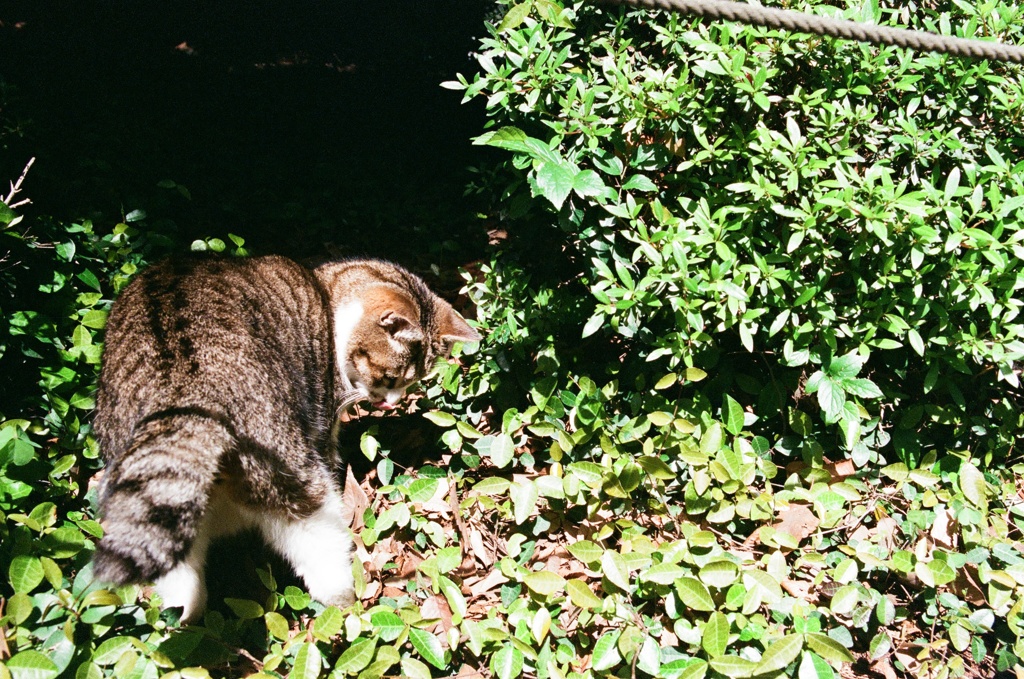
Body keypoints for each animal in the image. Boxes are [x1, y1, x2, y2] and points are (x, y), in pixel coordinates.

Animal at [92, 255, 479, 622]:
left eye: (410, 383)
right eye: (390, 378)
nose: (391, 403)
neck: (325, 291)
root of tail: (185, 394)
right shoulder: (324, 423)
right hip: (294, 473)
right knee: (318, 544)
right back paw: (348, 603)